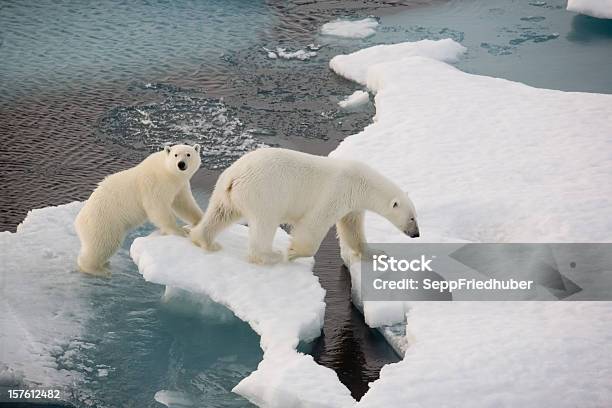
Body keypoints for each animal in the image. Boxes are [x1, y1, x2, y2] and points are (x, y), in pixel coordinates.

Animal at [76, 143, 203, 274]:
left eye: (188, 154)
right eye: (176, 155)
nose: (181, 164)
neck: (167, 173)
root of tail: (79, 221)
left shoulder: (179, 186)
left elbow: (184, 204)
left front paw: (199, 220)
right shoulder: (154, 183)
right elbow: (157, 207)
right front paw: (179, 231)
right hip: (104, 221)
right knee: (104, 244)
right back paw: (97, 270)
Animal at [190, 147, 420, 264]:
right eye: (411, 218)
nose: (416, 234)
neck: (360, 182)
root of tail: (235, 177)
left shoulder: (352, 204)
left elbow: (352, 229)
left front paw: (377, 252)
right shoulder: (337, 190)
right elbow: (313, 224)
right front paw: (292, 252)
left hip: (225, 191)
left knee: (220, 214)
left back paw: (204, 240)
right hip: (264, 193)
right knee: (265, 223)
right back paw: (271, 255)